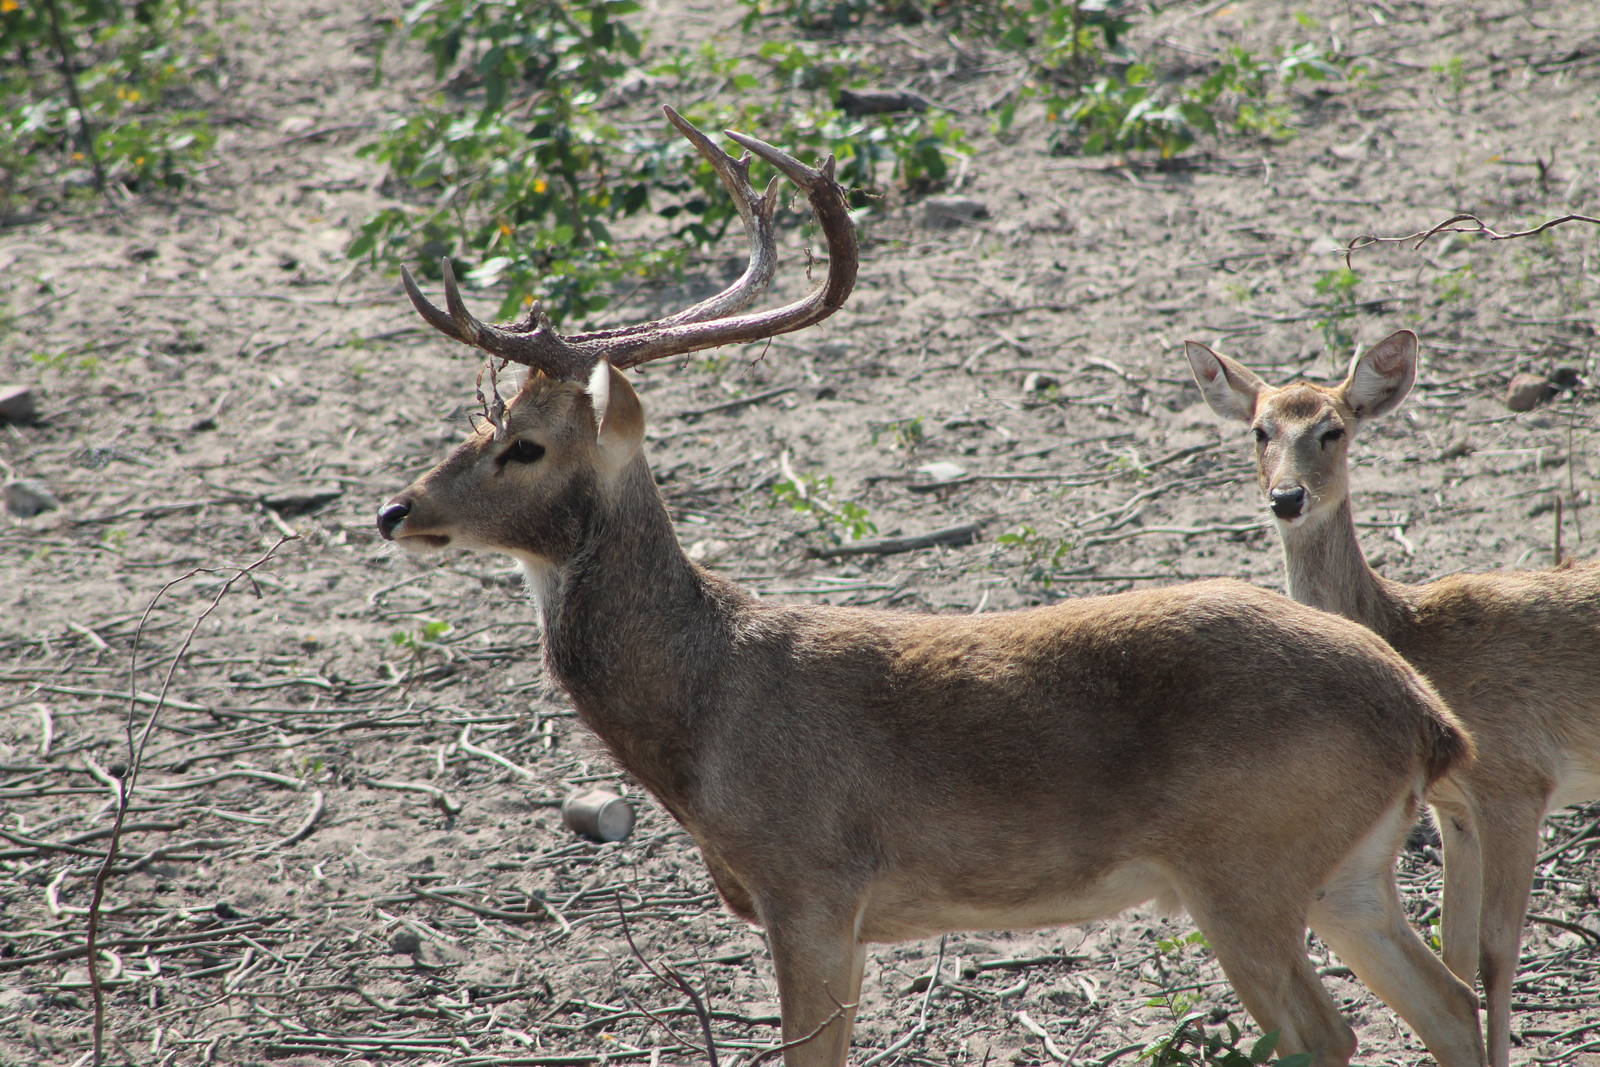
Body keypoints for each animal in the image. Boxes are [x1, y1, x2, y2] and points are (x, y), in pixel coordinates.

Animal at [376, 107, 1486, 1067]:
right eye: (475, 421)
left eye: (523, 443)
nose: (396, 508)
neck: (702, 715)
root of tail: (1428, 717)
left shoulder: (814, 889)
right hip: (1345, 874)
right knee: (1453, 1002)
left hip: (1245, 865)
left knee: (1332, 1031)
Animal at [1185, 329, 1600, 1067]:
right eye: (1260, 429)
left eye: (1333, 429)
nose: (1287, 497)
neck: (1412, 634)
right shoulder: (1454, 810)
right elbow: (1457, 955)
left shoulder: (1519, 783)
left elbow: (1497, 955)